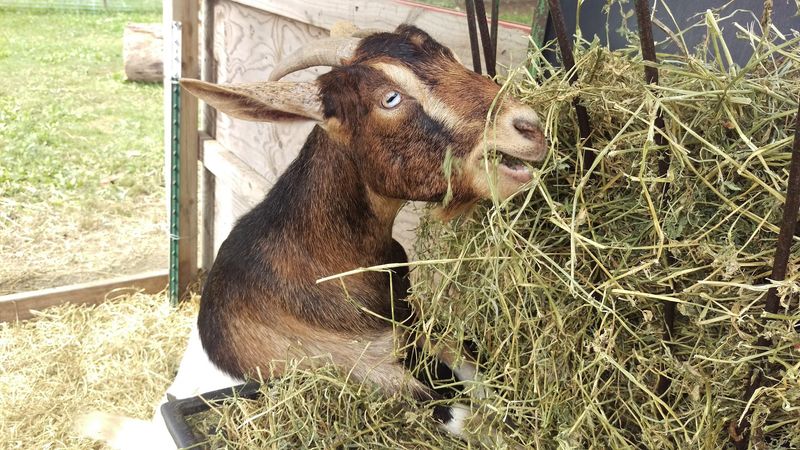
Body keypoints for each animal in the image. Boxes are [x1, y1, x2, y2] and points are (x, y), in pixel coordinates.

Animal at [79, 24, 546, 449]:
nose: (527, 127)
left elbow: (472, 367)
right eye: (389, 98)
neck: (327, 261)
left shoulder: (417, 327)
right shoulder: (348, 368)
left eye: (446, 53)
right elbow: (457, 412)